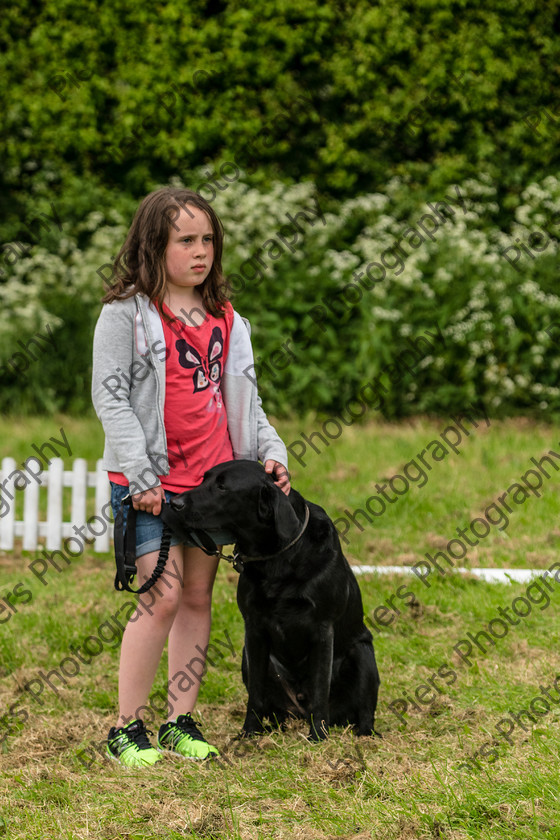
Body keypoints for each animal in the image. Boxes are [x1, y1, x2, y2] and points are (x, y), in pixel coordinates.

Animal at [163, 460, 380, 740]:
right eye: (204, 478)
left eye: (222, 487)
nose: (174, 503)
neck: (277, 557)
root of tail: (299, 710)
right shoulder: (254, 631)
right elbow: (256, 693)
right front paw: (249, 733)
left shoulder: (323, 630)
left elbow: (320, 689)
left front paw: (317, 737)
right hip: (248, 659)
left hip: (363, 653)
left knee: (363, 711)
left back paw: (364, 735)